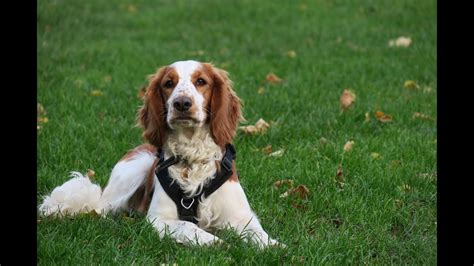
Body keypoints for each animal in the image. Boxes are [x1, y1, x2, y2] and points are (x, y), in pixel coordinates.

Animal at [39, 59, 284, 247]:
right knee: (99, 211)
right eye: (169, 83)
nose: (182, 103)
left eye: (201, 81)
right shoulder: (158, 220)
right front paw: (215, 241)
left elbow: (258, 233)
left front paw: (274, 246)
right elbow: (189, 225)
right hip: (137, 167)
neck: (191, 158)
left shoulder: (241, 215)